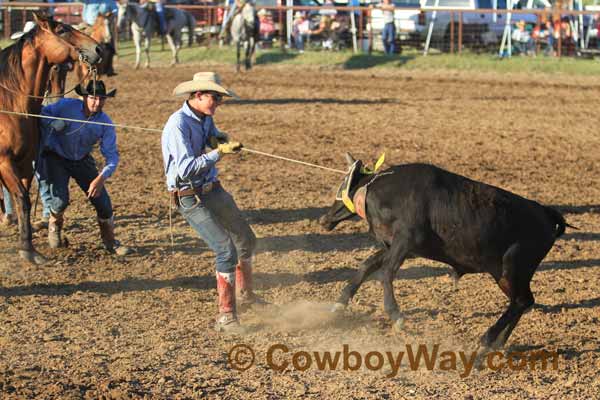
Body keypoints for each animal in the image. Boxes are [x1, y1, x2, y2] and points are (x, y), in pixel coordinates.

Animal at [0, 13, 100, 262]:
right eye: (62, 30)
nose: (98, 48)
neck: (12, 106)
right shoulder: (4, 162)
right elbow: (22, 199)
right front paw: (27, 250)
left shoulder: (25, 165)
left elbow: (24, 201)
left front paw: (28, 247)